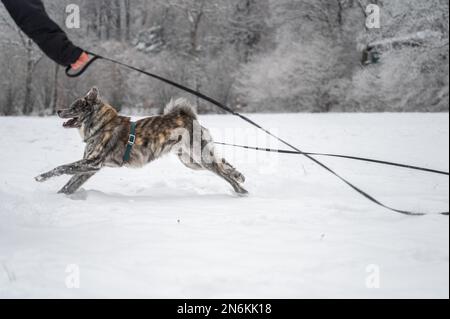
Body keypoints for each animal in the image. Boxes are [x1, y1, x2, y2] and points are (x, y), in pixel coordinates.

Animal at [34, 87, 250, 195]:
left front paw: (41, 177)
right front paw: (60, 197)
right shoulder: (90, 169)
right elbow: (69, 185)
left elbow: (62, 167)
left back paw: (240, 190)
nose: (58, 110)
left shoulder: (92, 163)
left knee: (223, 172)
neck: (101, 125)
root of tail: (188, 117)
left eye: (74, 107)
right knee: (223, 164)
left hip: (200, 157)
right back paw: (239, 176)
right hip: (192, 161)